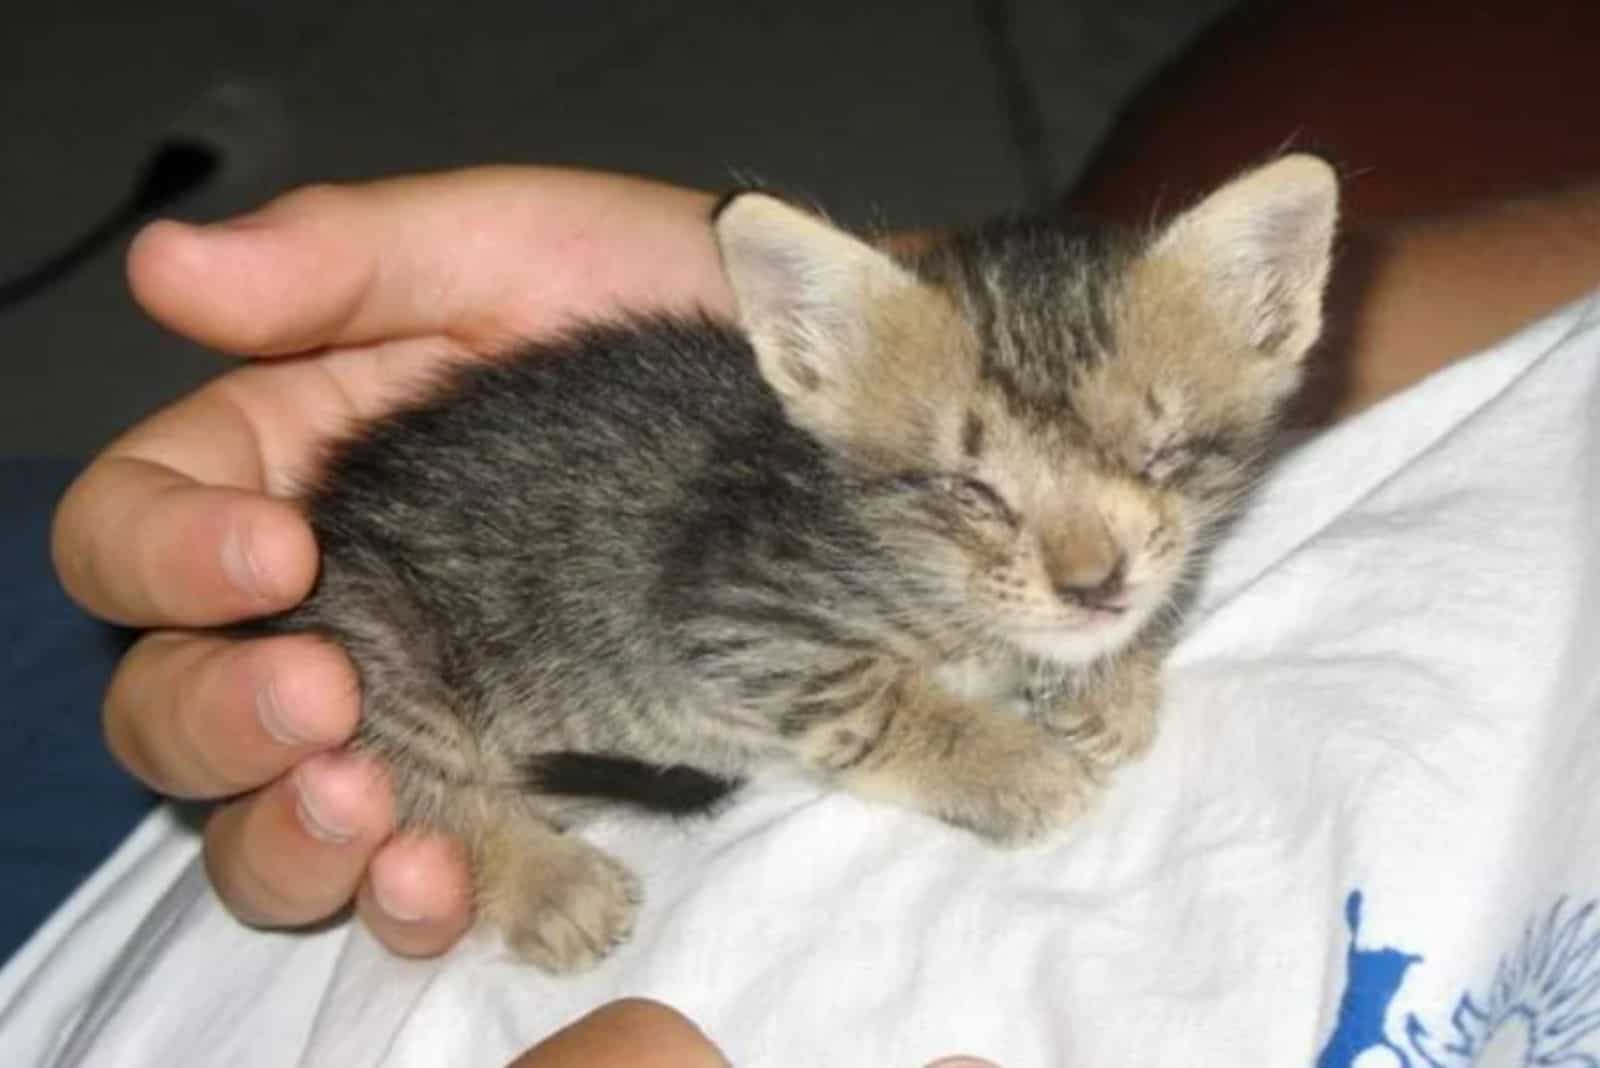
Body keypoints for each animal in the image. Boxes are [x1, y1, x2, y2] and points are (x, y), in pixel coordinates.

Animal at [259, 154, 1337, 972]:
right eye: (972, 489)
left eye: (1163, 456)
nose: (1093, 584)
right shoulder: (730, 609)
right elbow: (871, 699)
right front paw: (1012, 763)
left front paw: (1107, 679)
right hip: (374, 646)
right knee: (416, 779)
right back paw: (545, 880)